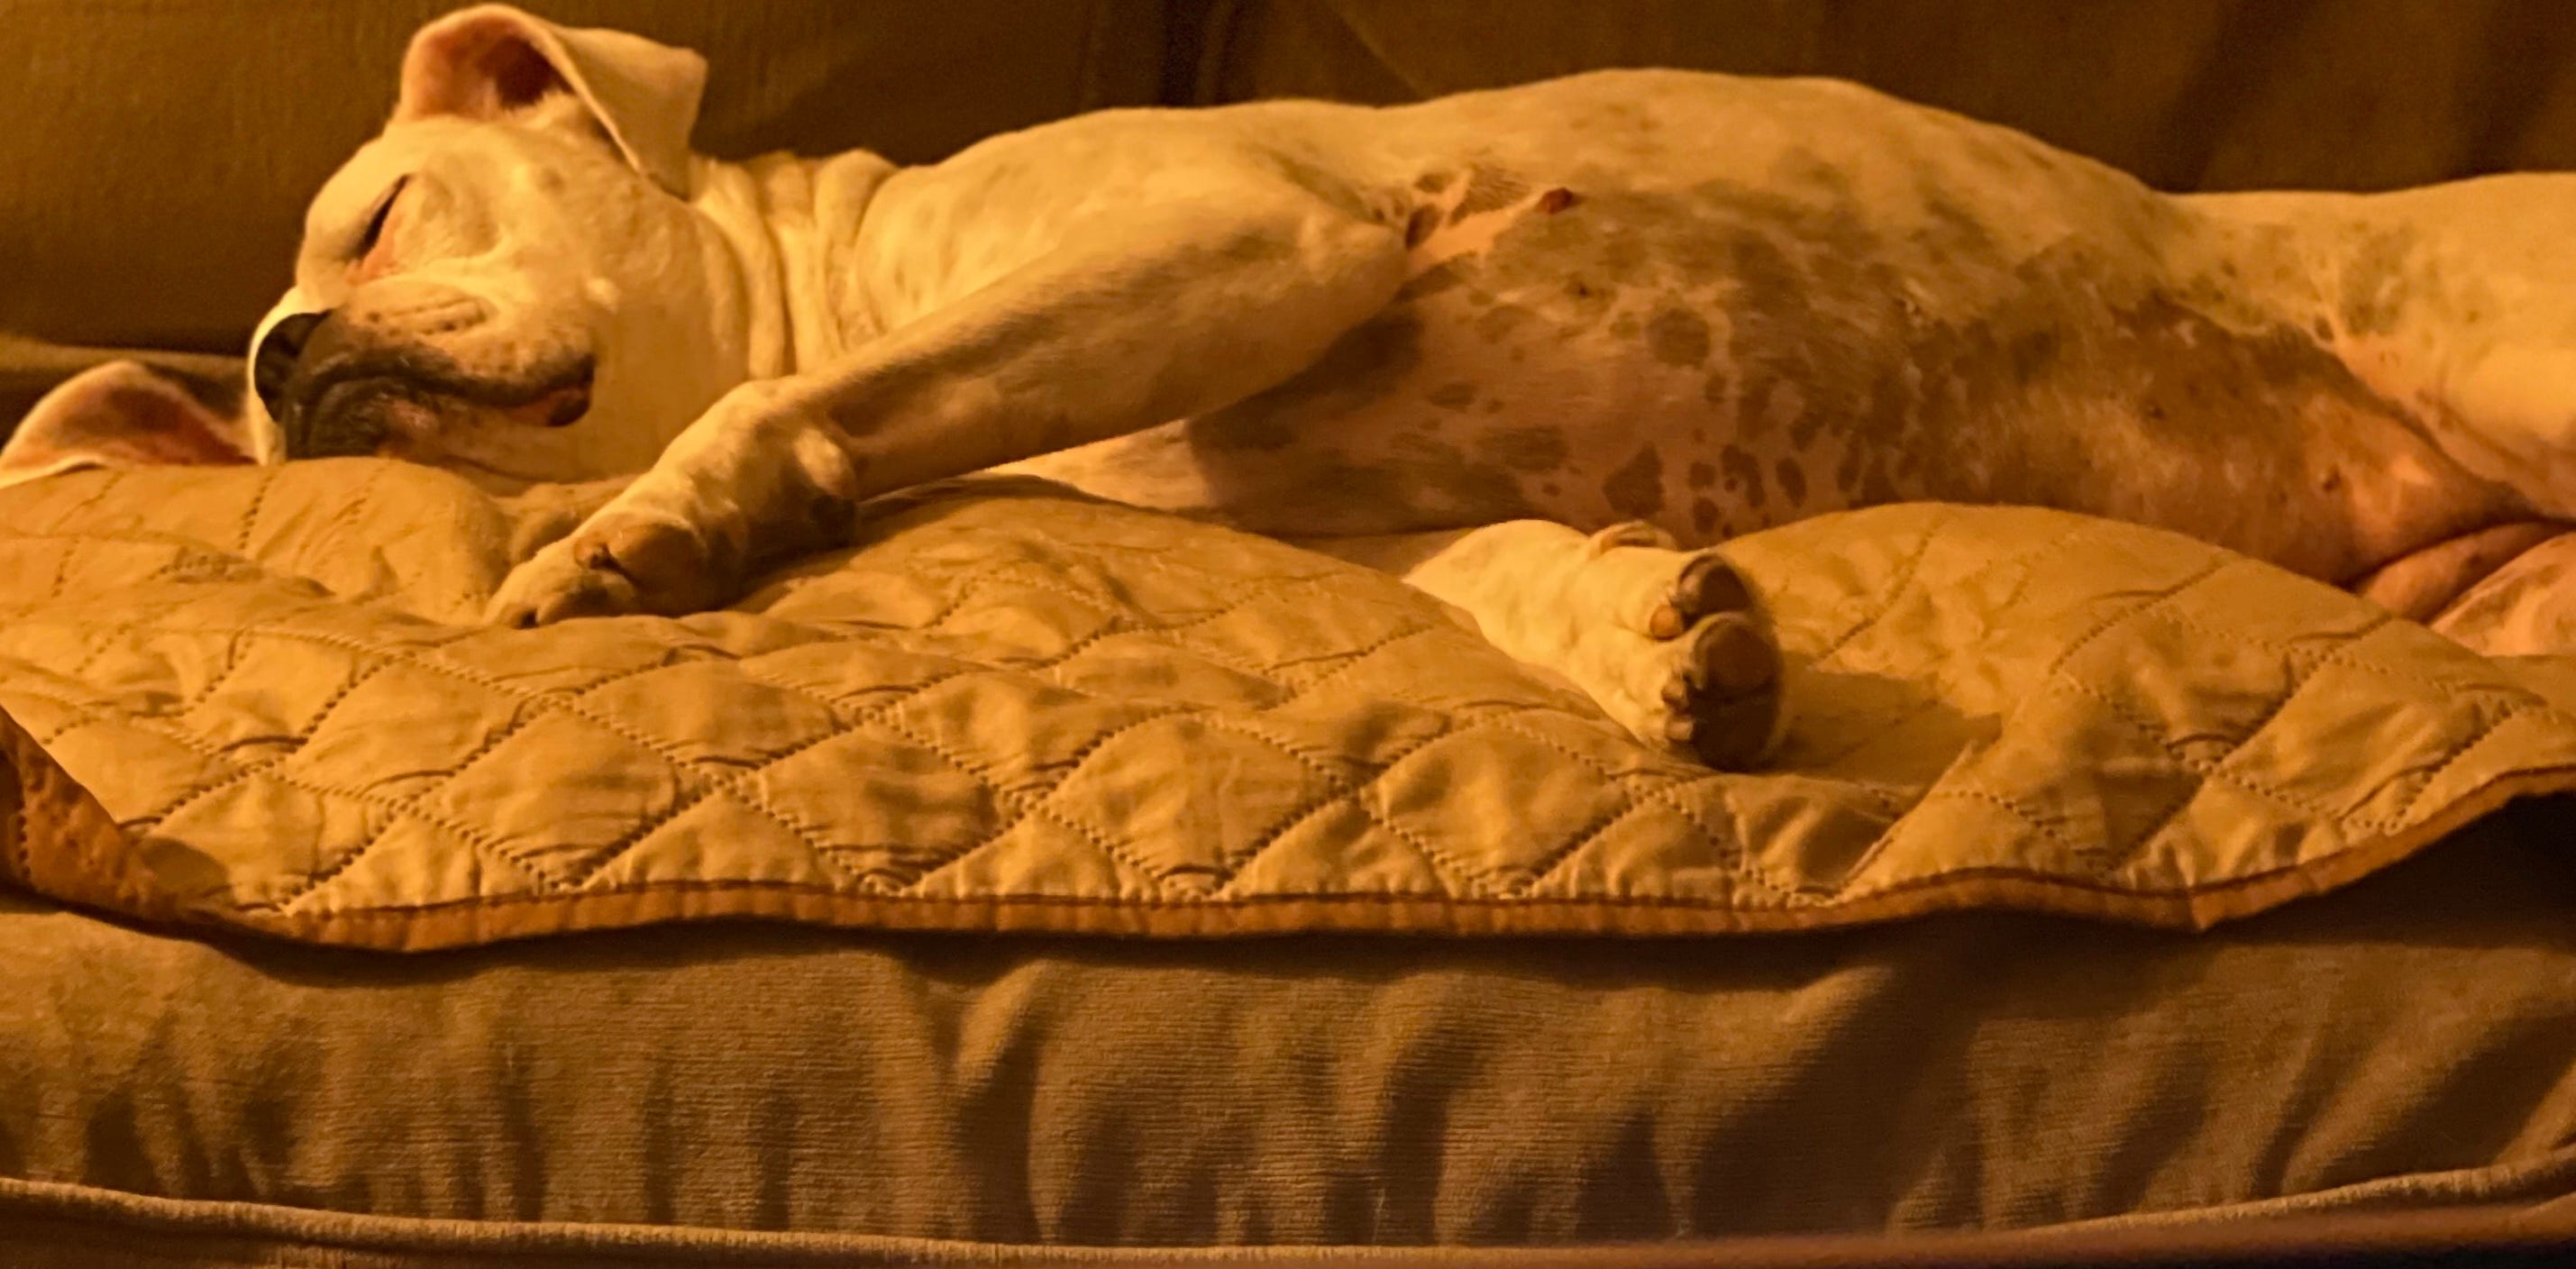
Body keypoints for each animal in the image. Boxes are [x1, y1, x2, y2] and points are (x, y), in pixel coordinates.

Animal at [9, 4, 2576, 769]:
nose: (279, 356)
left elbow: (765, 427)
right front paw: (1658, 637)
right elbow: (1507, 572)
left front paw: (652, 527)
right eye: (249, 419)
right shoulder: (1339, 507)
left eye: (376, 215)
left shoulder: (1246, 235)